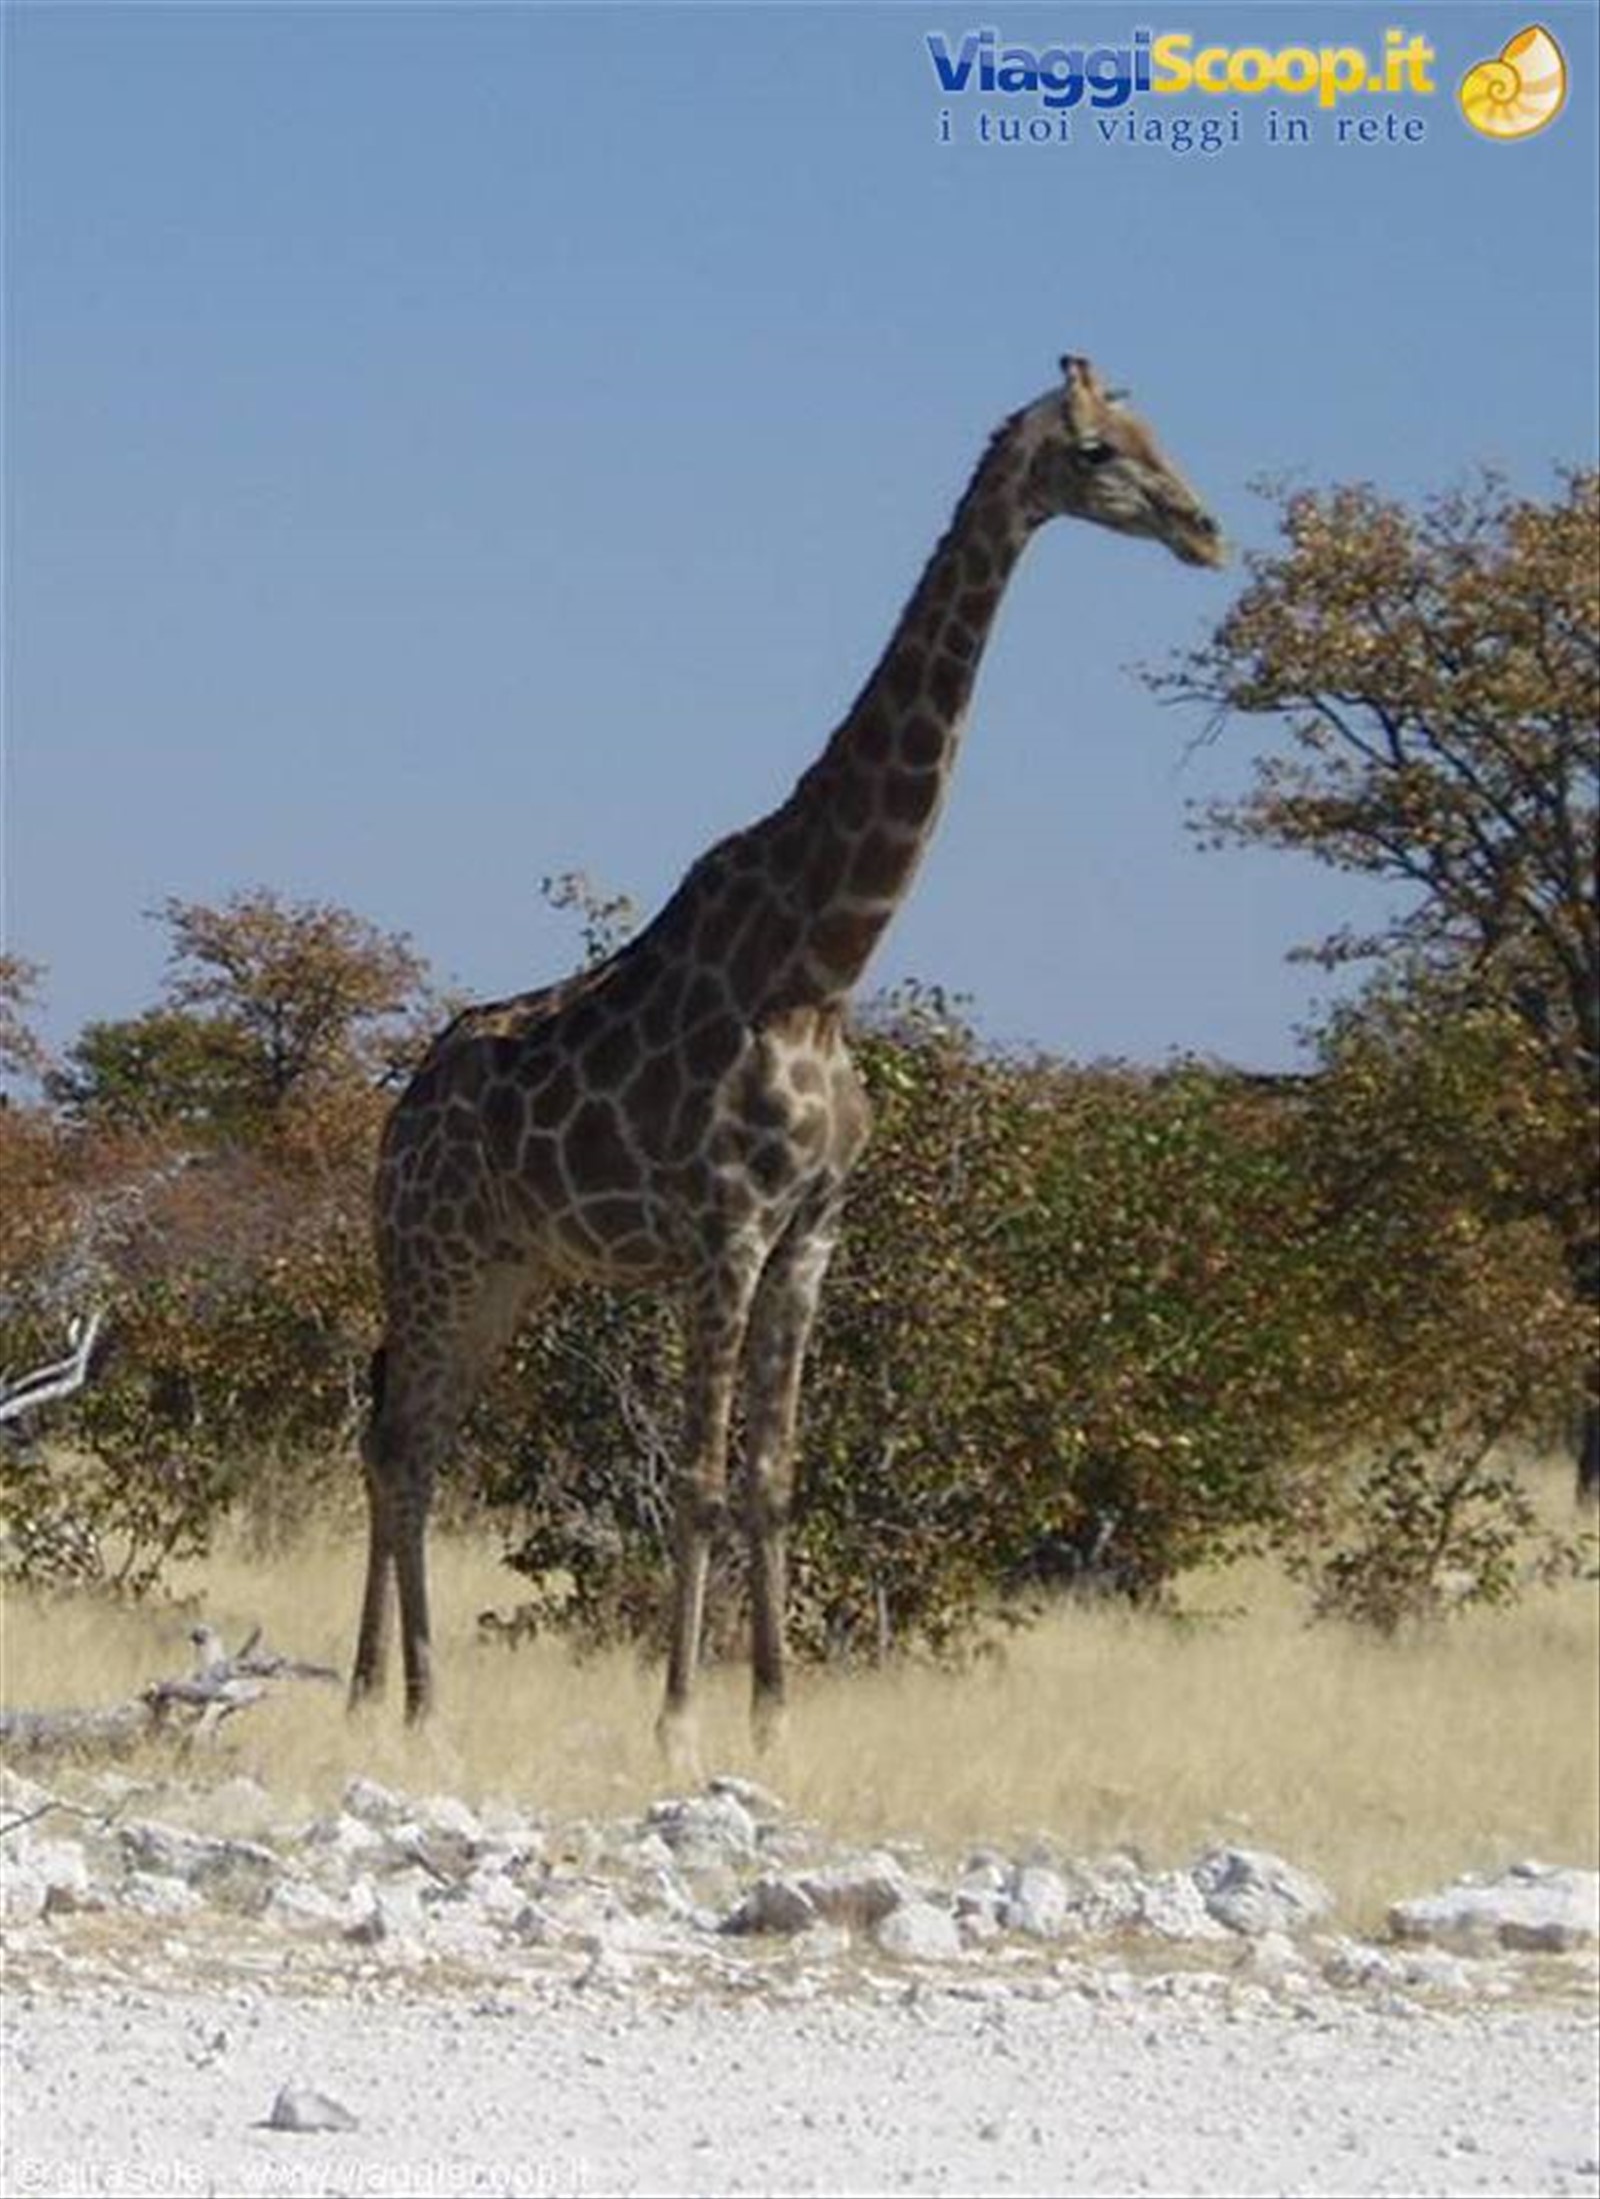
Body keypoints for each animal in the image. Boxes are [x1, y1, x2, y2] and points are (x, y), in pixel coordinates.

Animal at [350, 355, 1223, 1752]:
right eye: (1096, 450)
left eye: (1159, 433)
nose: (1204, 528)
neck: (821, 967)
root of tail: (395, 1119)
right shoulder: (728, 1231)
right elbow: (698, 1479)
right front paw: (677, 1722)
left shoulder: (814, 1235)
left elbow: (771, 1475)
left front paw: (772, 1717)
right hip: (433, 1254)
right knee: (400, 1444)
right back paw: (411, 1708)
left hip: (502, 1272)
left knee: (405, 1439)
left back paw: (388, 1696)